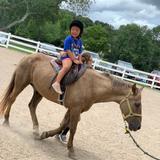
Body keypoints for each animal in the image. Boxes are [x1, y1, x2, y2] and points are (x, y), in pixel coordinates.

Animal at [0, 53, 142, 158]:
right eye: (137, 104)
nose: (138, 126)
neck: (92, 85)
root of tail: (28, 56)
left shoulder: (75, 109)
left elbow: (64, 124)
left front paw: (45, 134)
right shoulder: (75, 109)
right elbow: (73, 128)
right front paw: (71, 150)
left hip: (38, 91)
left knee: (32, 106)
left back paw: (36, 130)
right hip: (21, 83)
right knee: (12, 99)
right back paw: (6, 121)